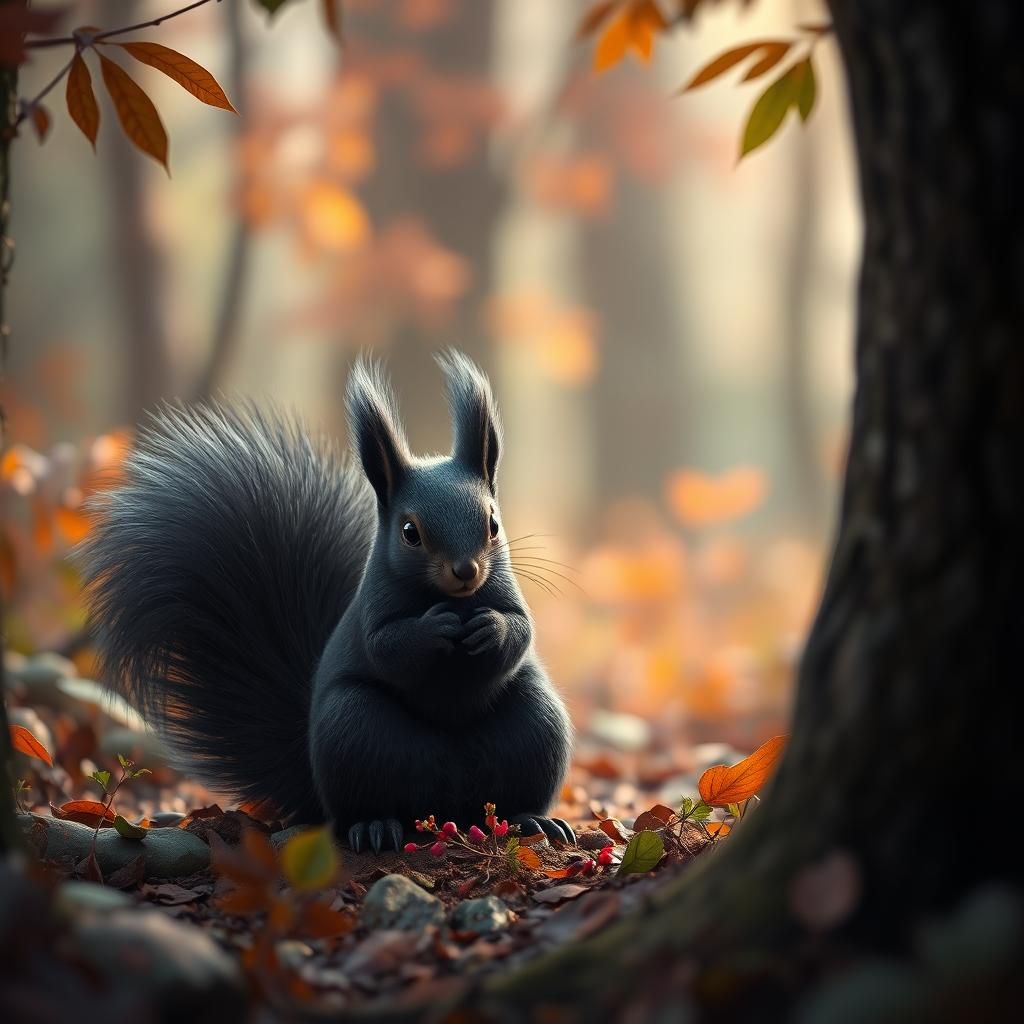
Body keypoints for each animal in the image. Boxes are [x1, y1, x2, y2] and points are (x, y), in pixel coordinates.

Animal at [81, 351, 574, 853]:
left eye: (493, 523)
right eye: (409, 532)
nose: (466, 571)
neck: (451, 599)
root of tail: (445, 808)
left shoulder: (506, 591)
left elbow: (520, 629)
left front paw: (489, 627)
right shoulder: (373, 608)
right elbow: (386, 647)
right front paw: (434, 628)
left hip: (534, 729)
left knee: (506, 794)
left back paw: (533, 821)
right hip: (354, 729)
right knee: (366, 805)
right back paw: (375, 826)